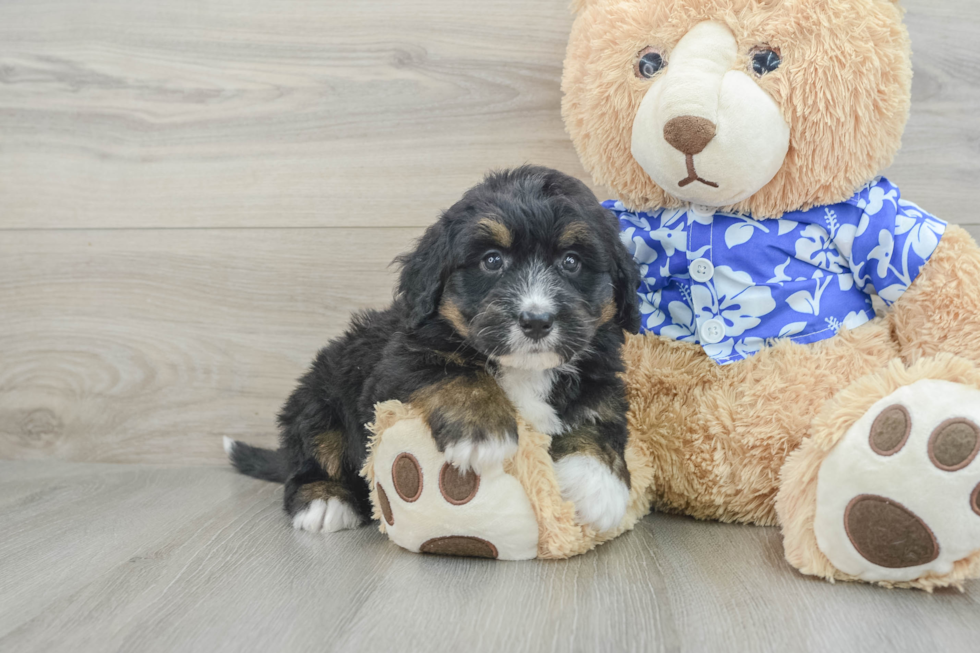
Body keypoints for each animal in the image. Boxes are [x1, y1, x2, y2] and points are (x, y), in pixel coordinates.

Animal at [230, 167, 644, 536]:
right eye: (492, 260)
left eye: (571, 262)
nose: (537, 321)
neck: (525, 369)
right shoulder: (394, 364)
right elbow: (456, 372)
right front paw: (481, 431)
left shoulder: (600, 374)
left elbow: (600, 417)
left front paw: (599, 485)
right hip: (318, 398)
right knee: (313, 450)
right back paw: (325, 500)